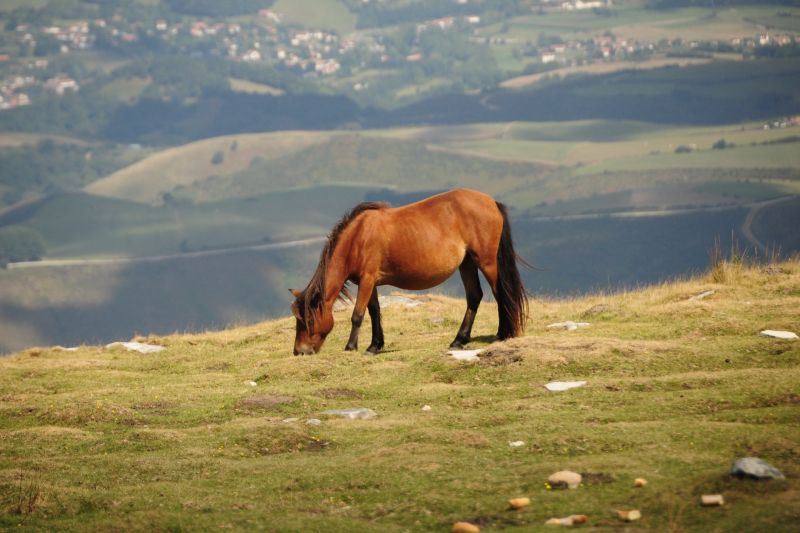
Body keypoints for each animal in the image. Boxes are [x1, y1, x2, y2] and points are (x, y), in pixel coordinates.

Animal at [290, 187, 528, 354]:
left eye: (307, 321)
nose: (299, 352)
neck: (357, 237)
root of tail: (491, 202)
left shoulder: (367, 279)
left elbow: (357, 314)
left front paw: (351, 347)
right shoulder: (370, 282)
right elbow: (374, 312)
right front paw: (374, 346)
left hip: (486, 262)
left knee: (500, 294)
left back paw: (501, 334)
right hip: (467, 263)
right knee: (474, 296)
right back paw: (459, 340)